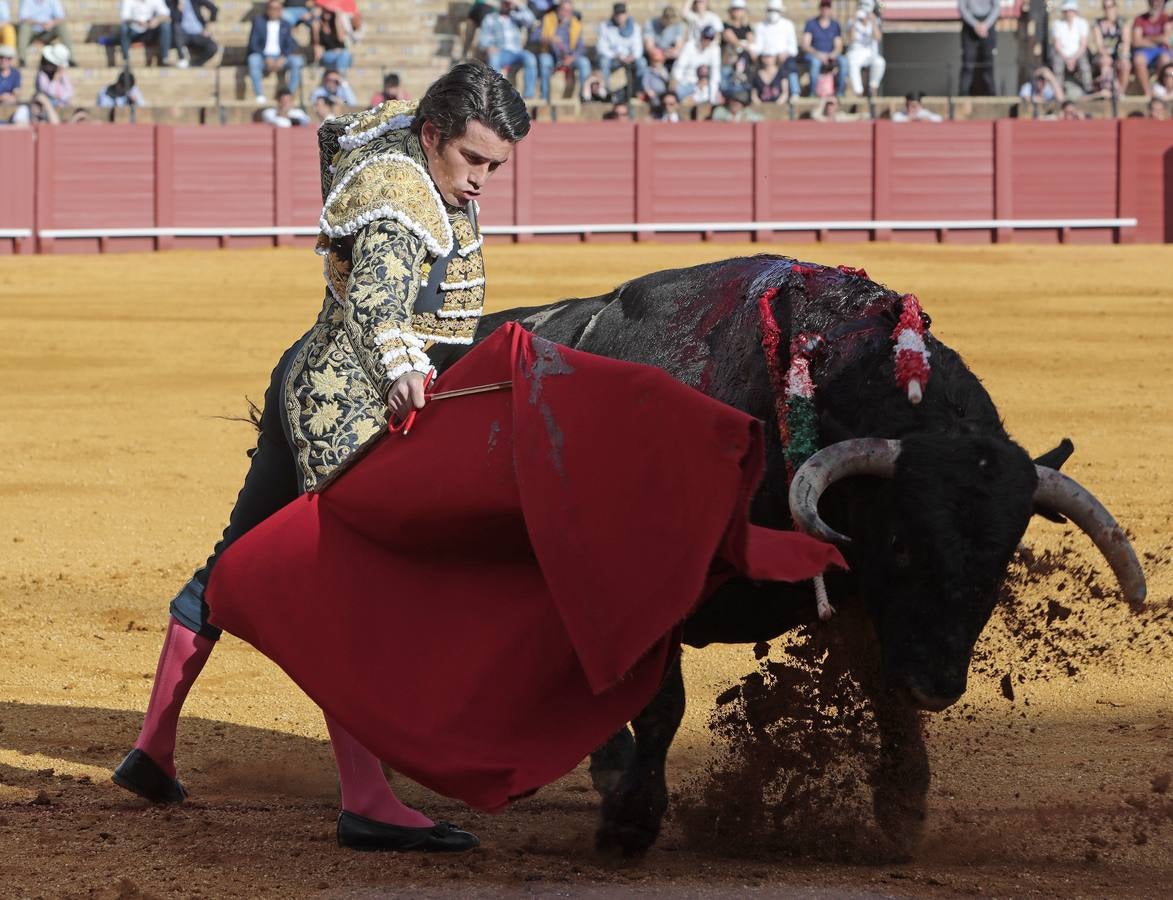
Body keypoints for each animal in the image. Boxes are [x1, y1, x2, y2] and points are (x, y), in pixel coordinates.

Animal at [434, 255, 1144, 858]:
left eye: (1001, 560)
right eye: (900, 542)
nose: (937, 685)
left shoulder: (862, 598)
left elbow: (882, 690)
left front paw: (903, 807)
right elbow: (663, 704)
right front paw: (631, 822)